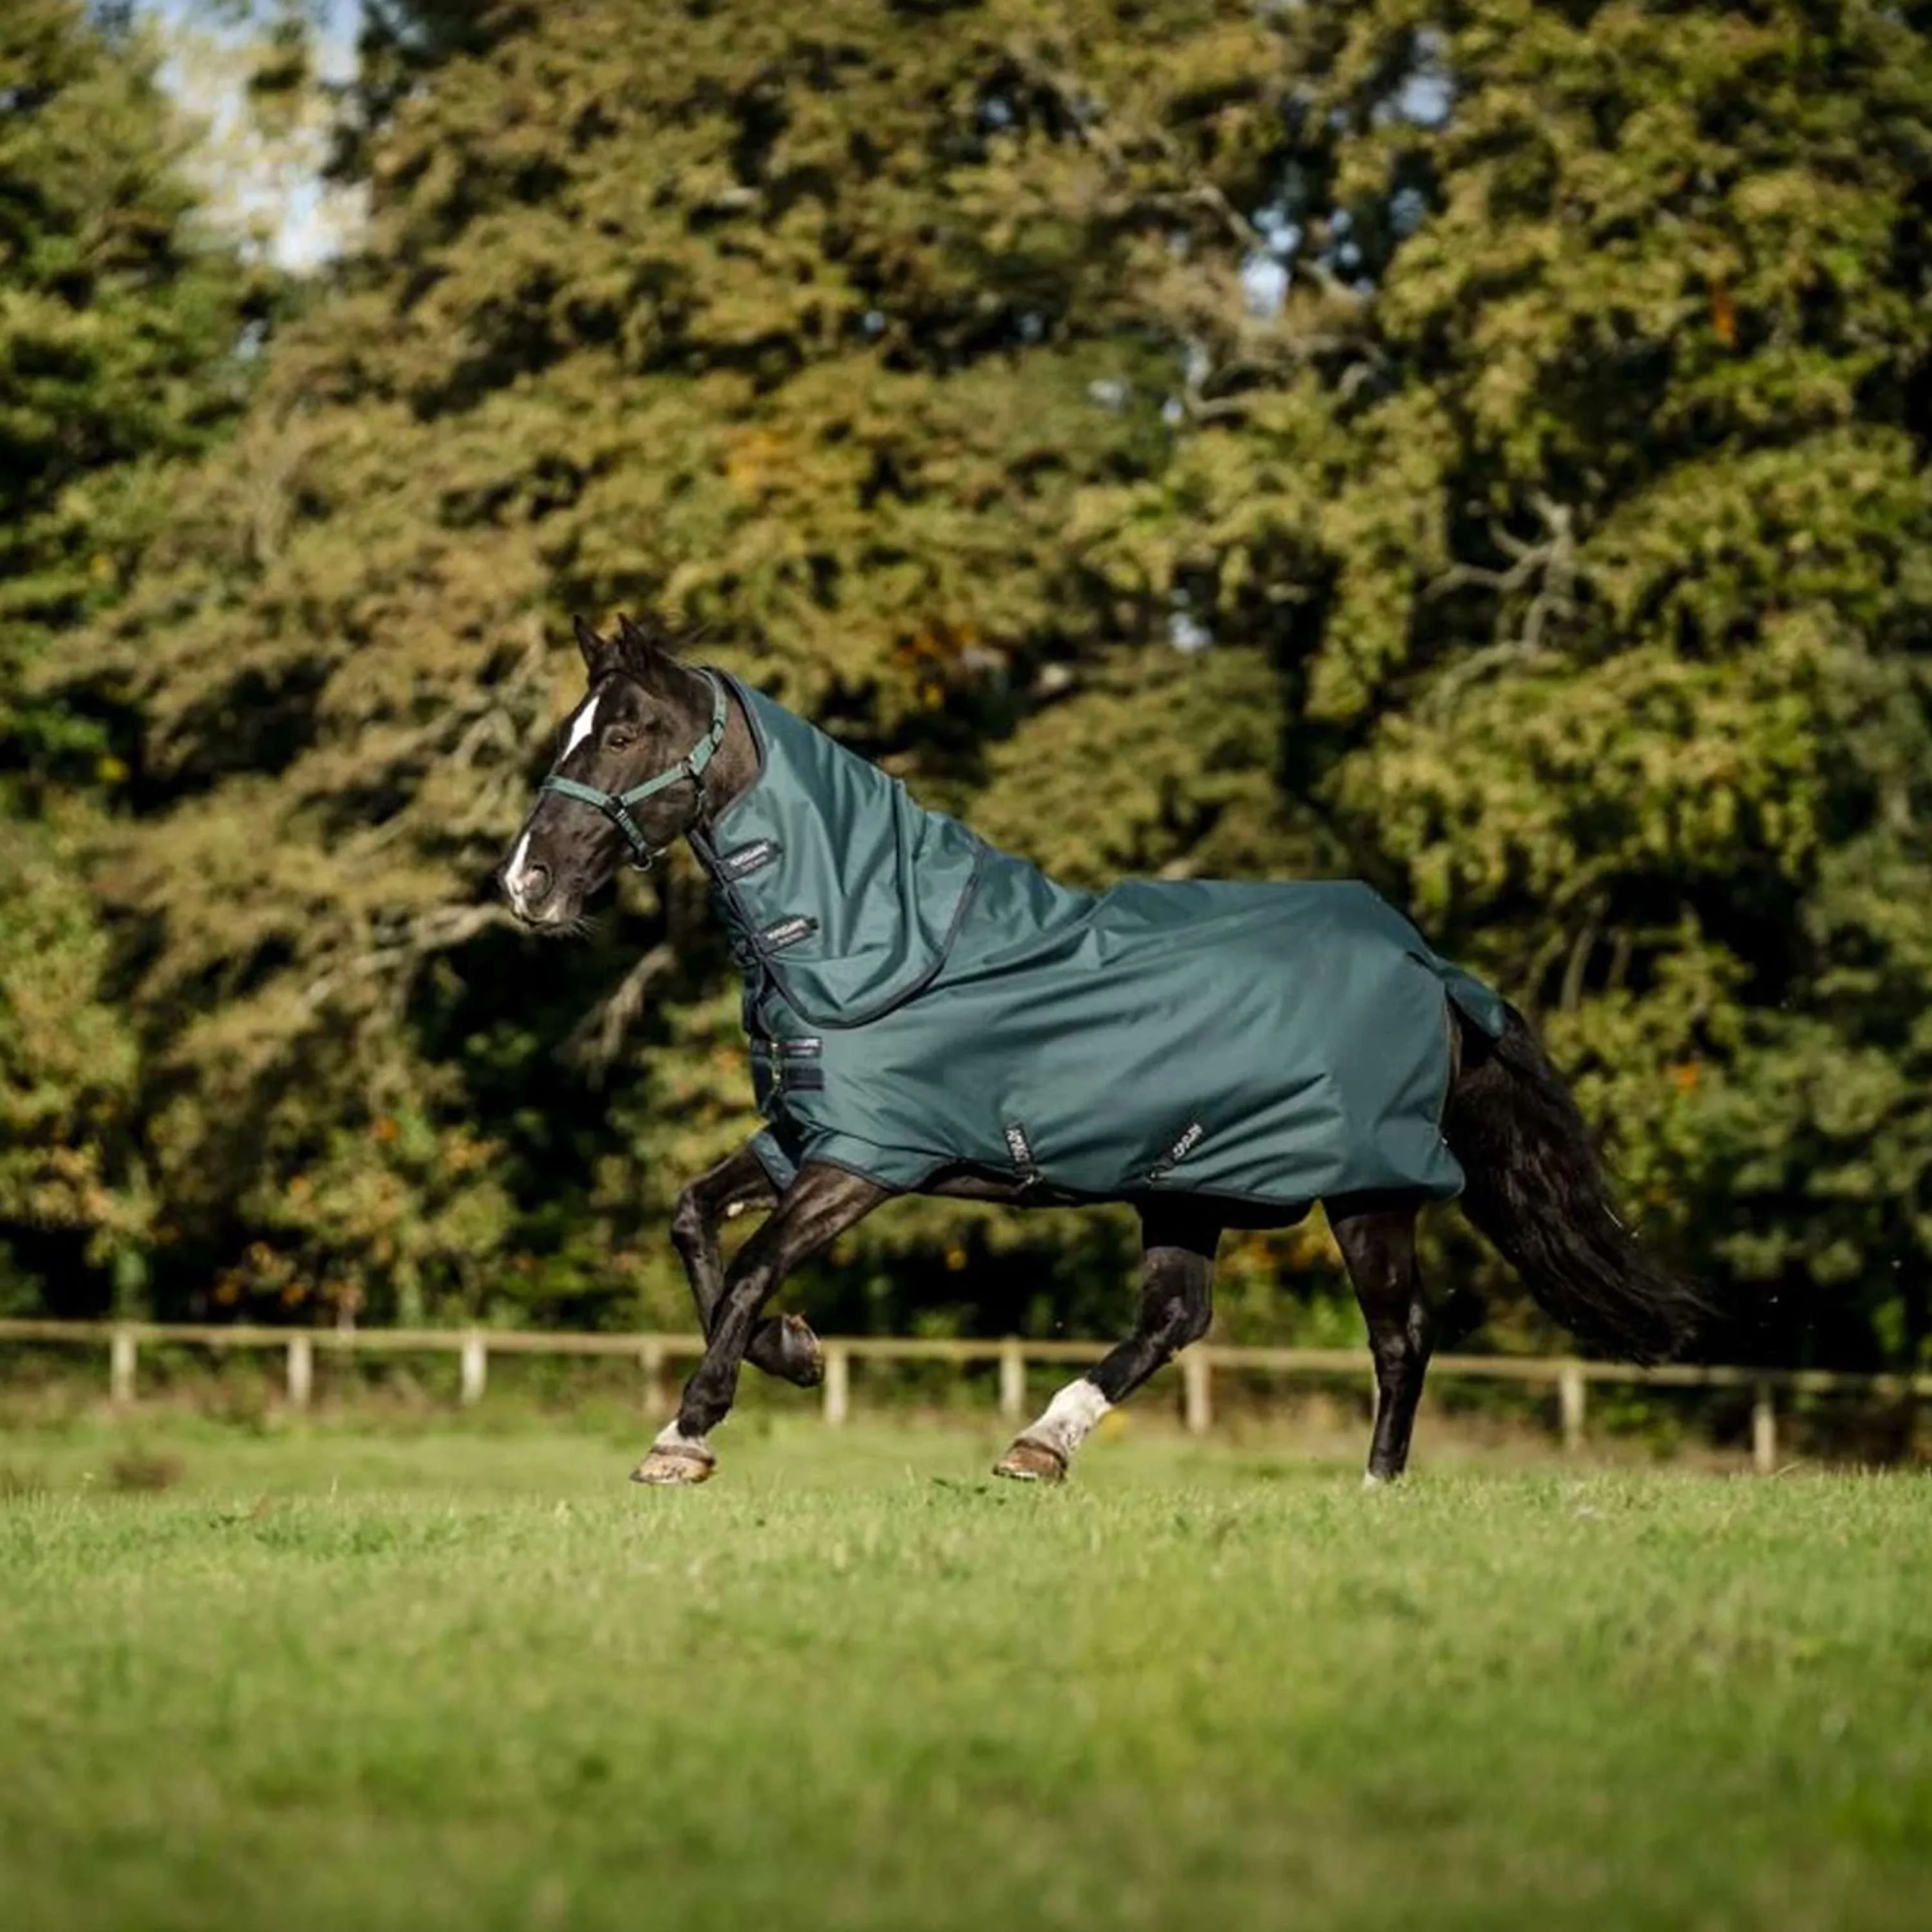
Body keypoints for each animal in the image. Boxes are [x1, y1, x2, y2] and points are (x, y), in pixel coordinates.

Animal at [498, 612, 1704, 1487]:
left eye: (622, 734)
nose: (525, 884)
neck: (874, 937)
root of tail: (1430, 968)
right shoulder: (804, 1132)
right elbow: (693, 1222)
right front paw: (794, 1355)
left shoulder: (869, 1160)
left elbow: (750, 1265)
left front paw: (686, 1434)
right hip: (1191, 1184)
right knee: (1178, 1317)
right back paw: (1043, 1443)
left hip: (1368, 1191)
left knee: (1399, 1334)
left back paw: (1373, 1486)